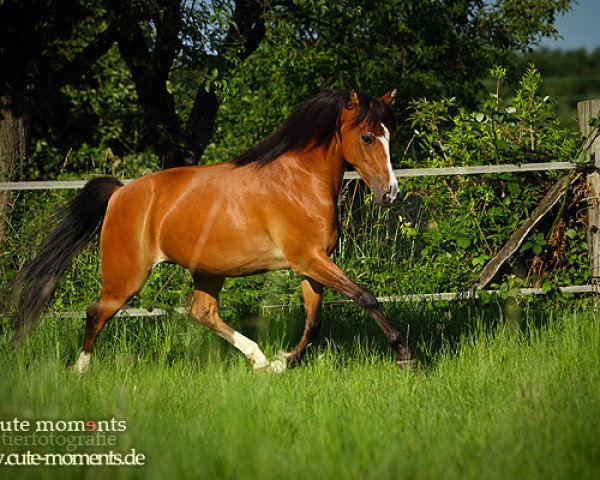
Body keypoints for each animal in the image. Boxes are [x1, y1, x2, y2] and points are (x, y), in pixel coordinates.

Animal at [12, 88, 418, 374]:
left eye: (392, 135)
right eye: (367, 137)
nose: (390, 193)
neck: (300, 182)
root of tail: (120, 192)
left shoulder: (311, 264)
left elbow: (315, 321)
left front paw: (283, 362)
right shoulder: (309, 259)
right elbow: (365, 297)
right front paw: (405, 355)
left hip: (209, 270)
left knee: (202, 313)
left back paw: (258, 359)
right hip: (125, 276)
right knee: (96, 312)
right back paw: (79, 371)